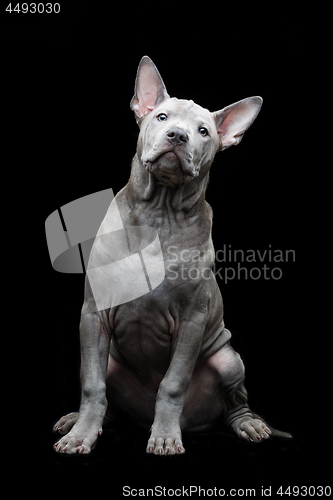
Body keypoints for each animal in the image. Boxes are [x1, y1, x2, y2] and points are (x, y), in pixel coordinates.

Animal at [53, 56, 290, 456]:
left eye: (203, 131)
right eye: (162, 117)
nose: (178, 136)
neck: (159, 214)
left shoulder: (192, 321)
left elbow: (173, 384)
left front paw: (165, 436)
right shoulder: (93, 315)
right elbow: (92, 385)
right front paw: (81, 435)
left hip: (228, 360)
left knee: (234, 403)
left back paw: (249, 425)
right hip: (111, 360)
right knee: (107, 397)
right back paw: (79, 420)